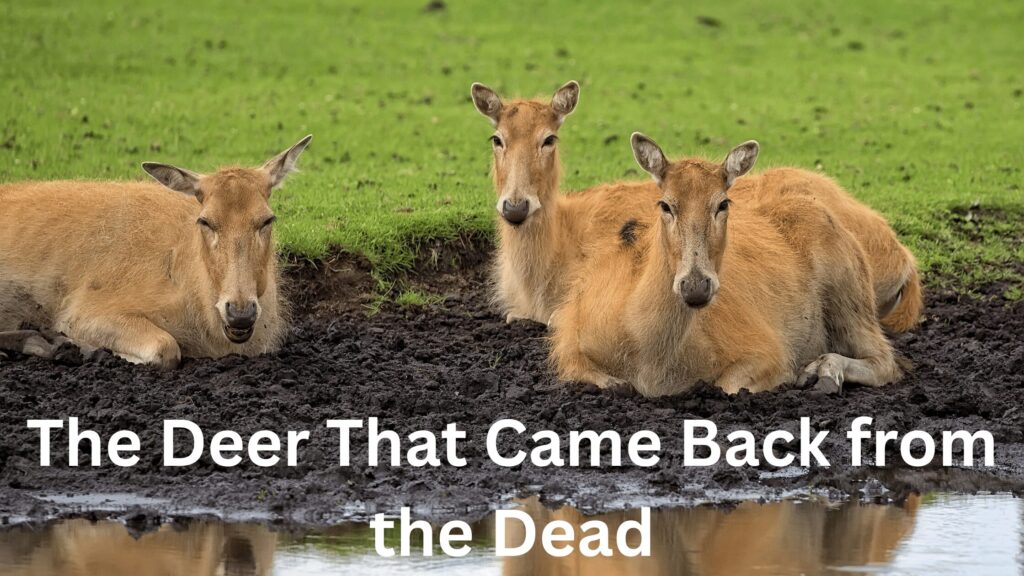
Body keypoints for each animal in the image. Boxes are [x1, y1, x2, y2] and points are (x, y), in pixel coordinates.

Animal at [0, 135, 311, 369]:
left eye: (267, 219)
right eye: (205, 221)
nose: (240, 312)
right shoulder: (82, 309)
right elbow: (165, 347)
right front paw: (84, 346)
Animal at [549, 134, 902, 396]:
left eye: (722, 203)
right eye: (665, 204)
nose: (695, 286)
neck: (651, 362)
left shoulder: (767, 350)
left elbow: (729, 386)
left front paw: (797, 375)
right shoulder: (569, 342)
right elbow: (603, 380)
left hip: (851, 291)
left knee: (885, 359)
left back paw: (822, 373)